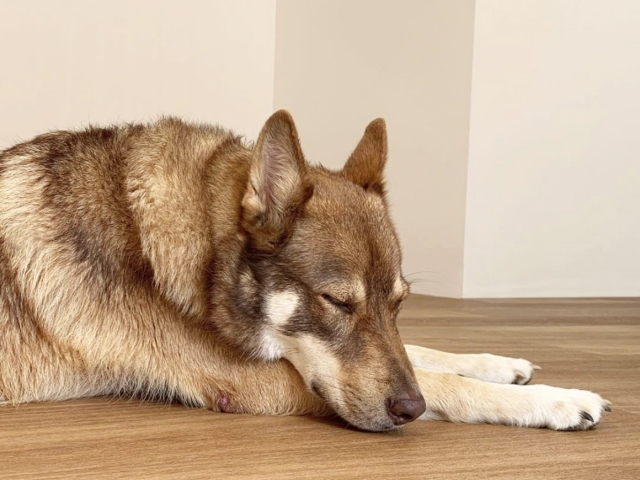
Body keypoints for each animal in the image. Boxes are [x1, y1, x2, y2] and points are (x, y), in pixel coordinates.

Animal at [0, 112, 608, 432]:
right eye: (337, 302)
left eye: (399, 303)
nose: (407, 412)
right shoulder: (250, 383)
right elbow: (440, 382)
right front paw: (555, 401)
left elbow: (422, 354)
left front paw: (499, 364)